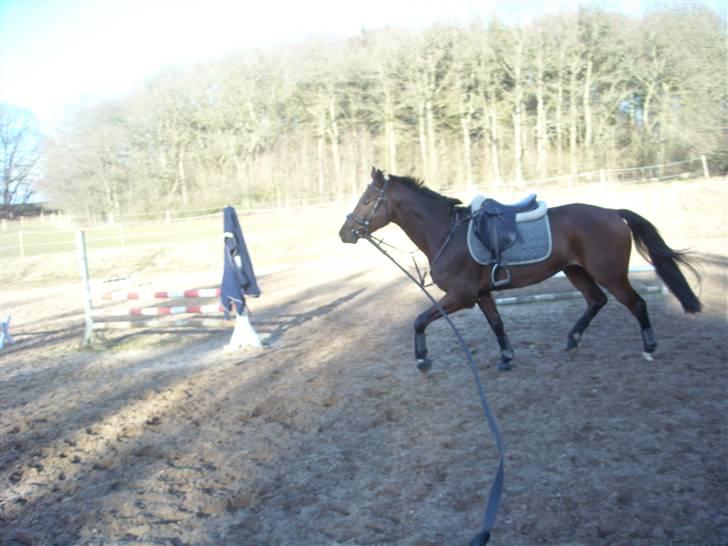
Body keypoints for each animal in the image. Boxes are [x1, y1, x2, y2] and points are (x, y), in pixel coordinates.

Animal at [338, 166, 704, 370]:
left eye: (367, 200)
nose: (345, 233)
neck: (446, 233)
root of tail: (613, 213)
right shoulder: (482, 294)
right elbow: (497, 325)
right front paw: (506, 357)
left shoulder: (461, 296)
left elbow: (419, 320)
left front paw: (422, 359)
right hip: (576, 271)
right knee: (596, 301)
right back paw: (572, 340)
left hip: (610, 274)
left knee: (636, 303)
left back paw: (649, 348)